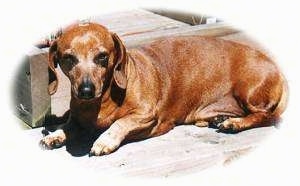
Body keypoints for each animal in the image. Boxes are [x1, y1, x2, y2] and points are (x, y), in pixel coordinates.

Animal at [39, 21, 288, 155]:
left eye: (102, 57)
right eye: (68, 58)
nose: (86, 92)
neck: (104, 100)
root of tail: (278, 70)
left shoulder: (147, 115)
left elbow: (121, 123)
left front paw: (104, 141)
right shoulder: (77, 118)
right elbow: (69, 125)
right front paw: (56, 135)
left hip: (249, 90)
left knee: (265, 116)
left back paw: (234, 123)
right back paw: (220, 119)